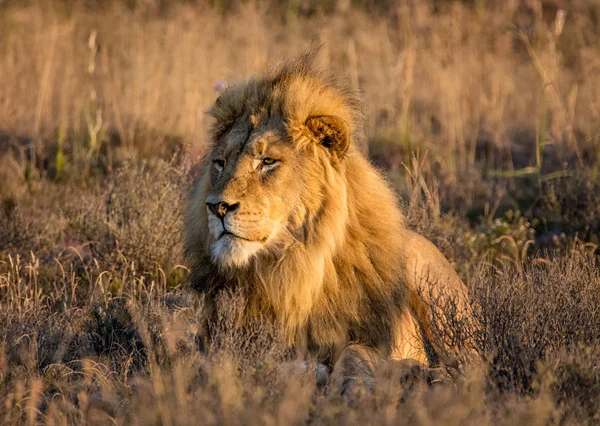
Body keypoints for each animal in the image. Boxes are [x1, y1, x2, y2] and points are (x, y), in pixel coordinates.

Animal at [185, 56, 480, 392]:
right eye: (220, 163)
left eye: (268, 162)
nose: (217, 206)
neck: (290, 268)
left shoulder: (372, 335)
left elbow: (355, 351)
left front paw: (355, 381)